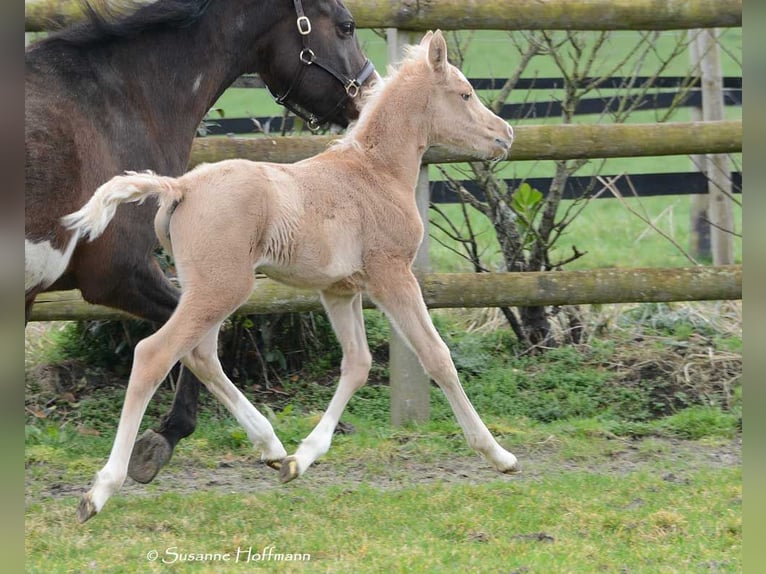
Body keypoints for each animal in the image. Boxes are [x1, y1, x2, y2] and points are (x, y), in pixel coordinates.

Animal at [63, 31, 520, 528]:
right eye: (466, 94)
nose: (506, 133)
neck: (376, 173)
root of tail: (180, 187)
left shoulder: (339, 291)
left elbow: (357, 364)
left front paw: (303, 458)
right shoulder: (392, 274)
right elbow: (437, 356)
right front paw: (498, 454)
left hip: (209, 290)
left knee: (201, 355)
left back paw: (272, 448)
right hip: (221, 289)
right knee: (154, 354)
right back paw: (98, 492)